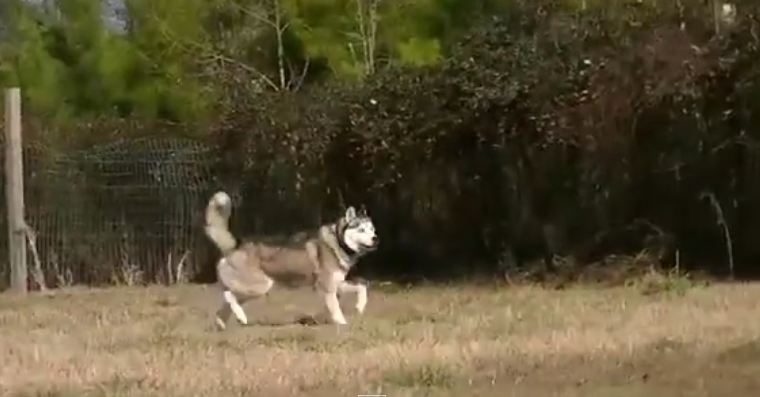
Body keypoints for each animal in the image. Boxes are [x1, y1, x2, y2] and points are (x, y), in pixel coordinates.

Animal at [203, 191, 378, 328]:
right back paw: (240, 316)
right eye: (361, 230)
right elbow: (336, 309)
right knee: (228, 295)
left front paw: (360, 307)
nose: (375, 238)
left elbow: (362, 286)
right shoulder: (328, 287)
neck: (338, 241)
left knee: (225, 304)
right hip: (259, 286)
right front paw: (343, 324)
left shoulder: (338, 284)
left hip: (252, 288)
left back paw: (226, 323)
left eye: (372, 229)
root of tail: (235, 245)